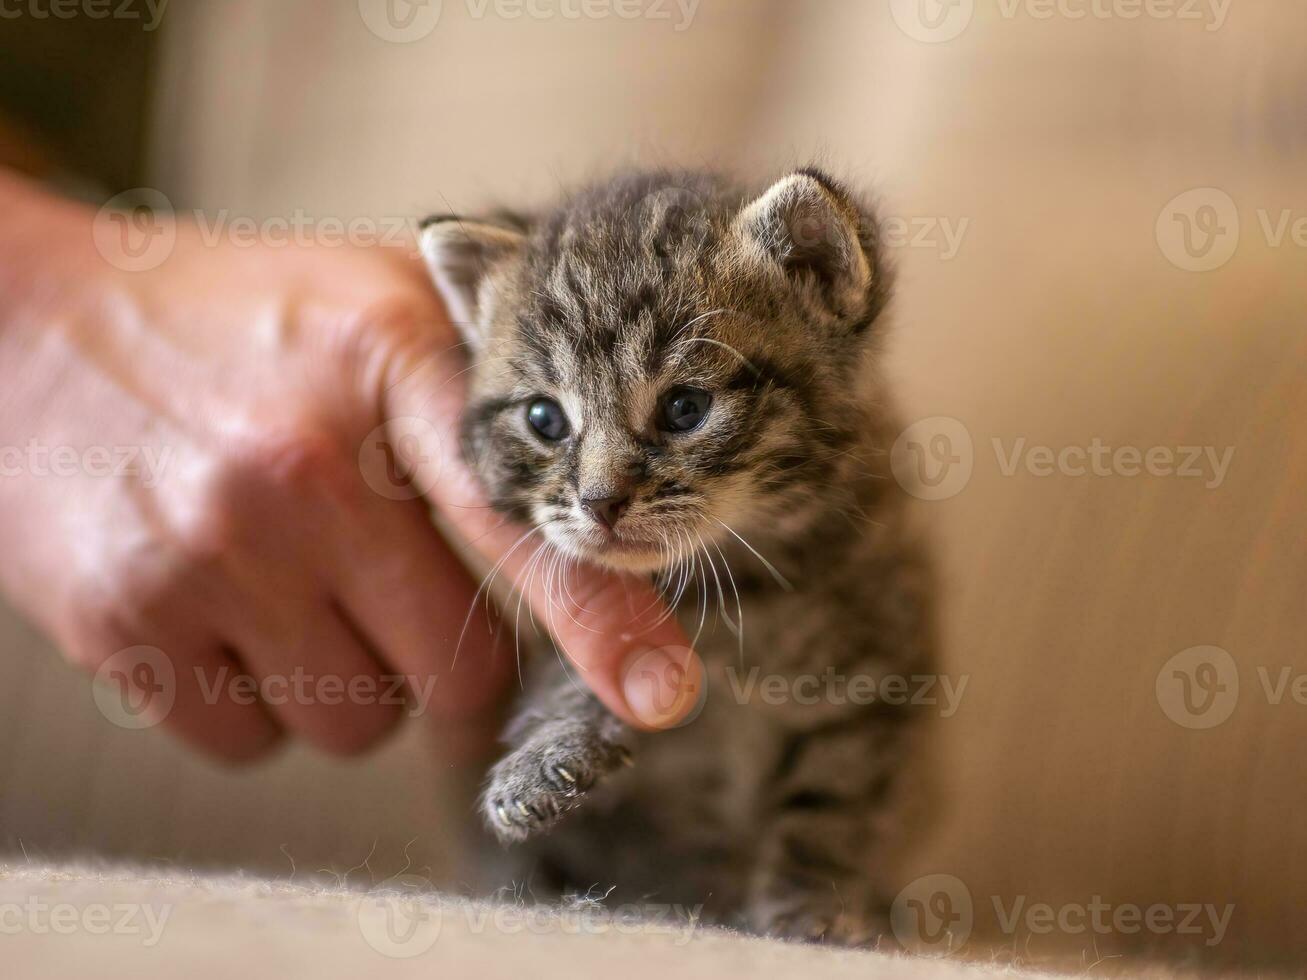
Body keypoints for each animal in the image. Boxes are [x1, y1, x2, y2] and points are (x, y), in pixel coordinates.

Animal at [423, 167, 935, 946]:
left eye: (685, 408)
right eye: (545, 419)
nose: (600, 501)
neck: (742, 581)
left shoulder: (882, 680)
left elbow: (835, 802)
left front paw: (812, 907)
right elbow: (582, 667)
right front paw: (548, 754)